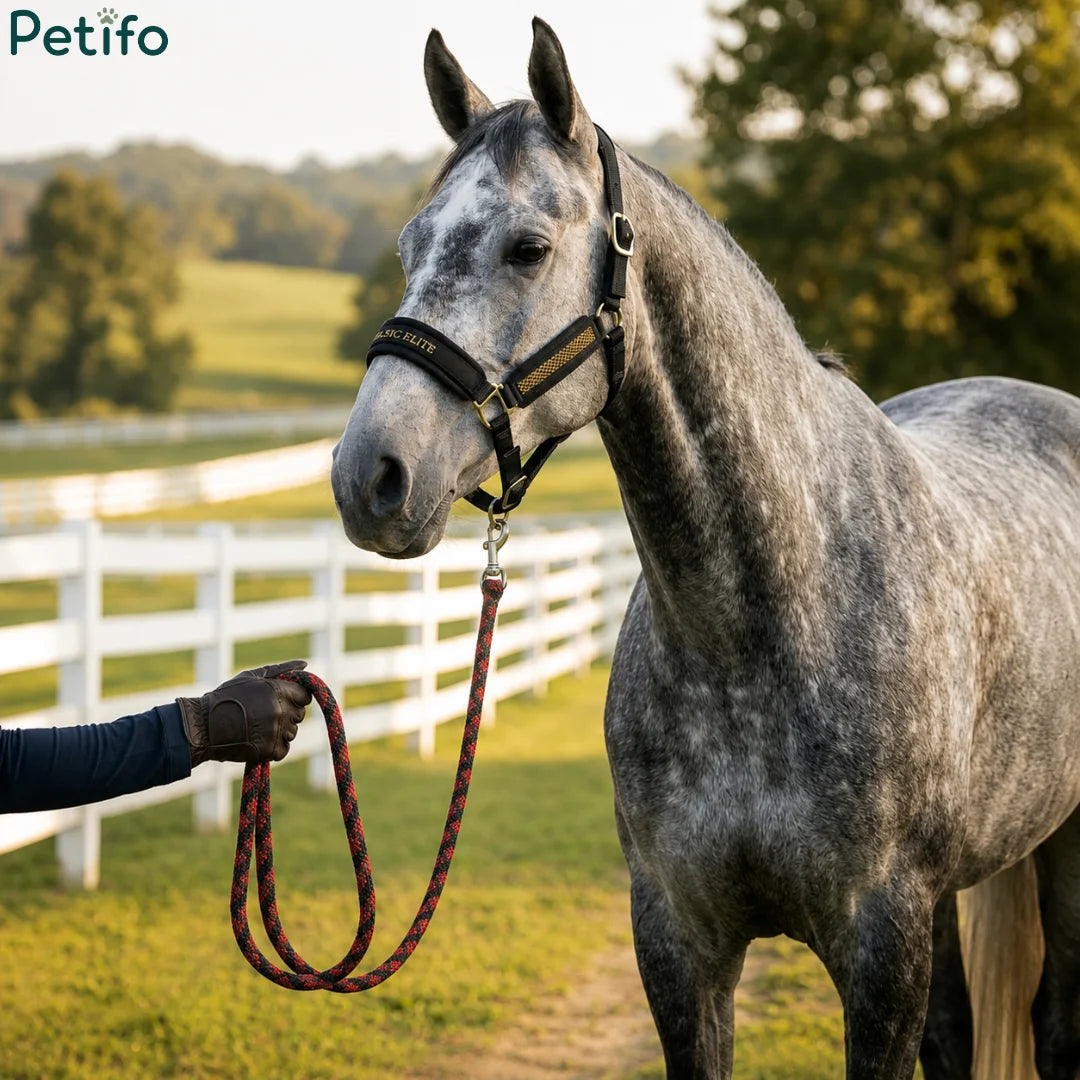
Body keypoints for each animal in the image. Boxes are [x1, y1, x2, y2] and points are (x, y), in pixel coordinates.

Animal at [330, 19, 1080, 1080]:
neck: (770, 620)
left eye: (528, 248)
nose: (370, 477)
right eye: (409, 246)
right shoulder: (679, 943)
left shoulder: (879, 949)